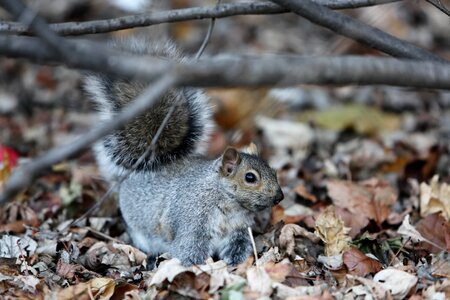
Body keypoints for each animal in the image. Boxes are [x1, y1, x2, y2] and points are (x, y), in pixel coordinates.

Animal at [82, 38, 284, 266]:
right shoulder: (192, 226)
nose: (280, 196)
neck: (228, 203)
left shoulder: (238, 232)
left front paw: (234, 265)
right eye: (250, 177)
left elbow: (237, 249)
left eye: (274, 171)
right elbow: (189, 251)